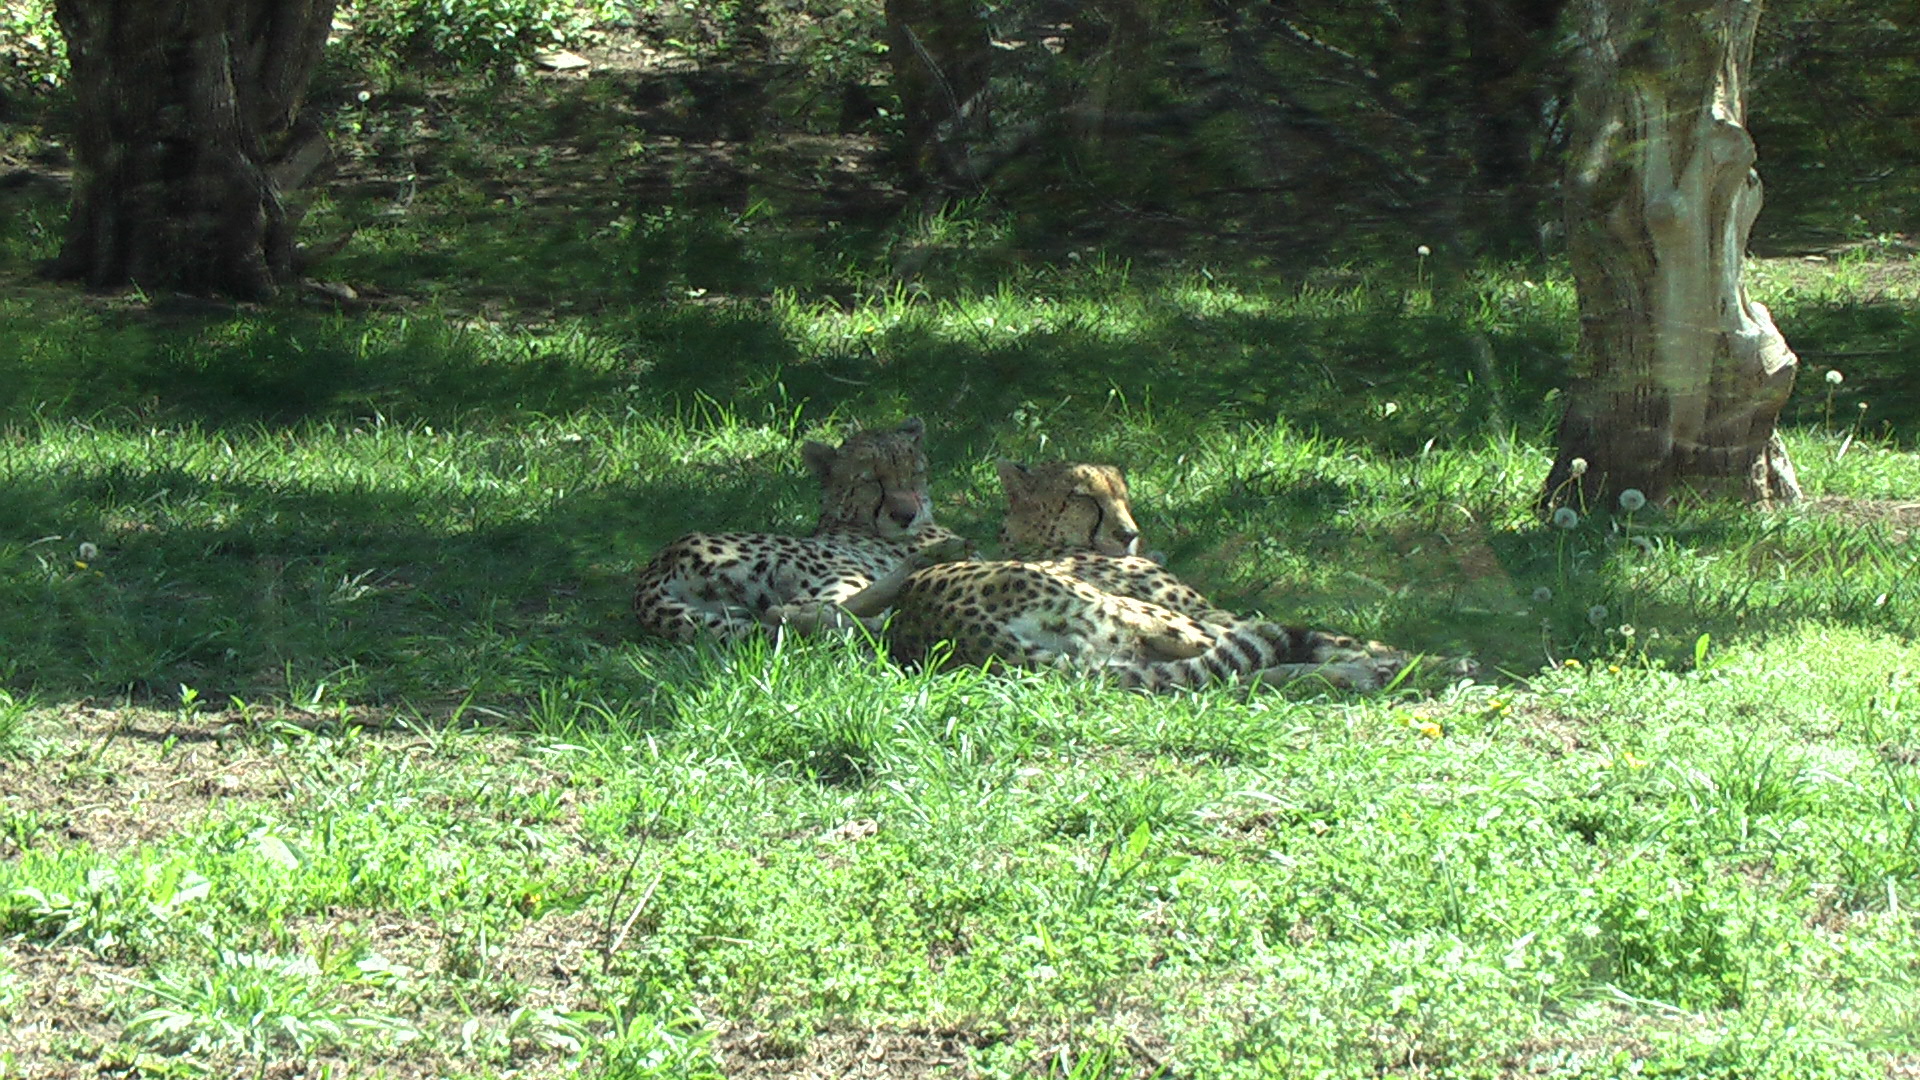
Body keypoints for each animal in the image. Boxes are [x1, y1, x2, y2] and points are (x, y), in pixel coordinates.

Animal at [631, 417, 971, 643]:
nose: (906, 516)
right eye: (872, 481)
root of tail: (662, 559)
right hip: (844, 573)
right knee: (803, 614)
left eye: (913, 474)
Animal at [880, 459, 1419, 691]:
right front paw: (1406, 656)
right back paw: (1387, 670)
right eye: (1084, 498)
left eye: (1122, 493)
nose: (1128, 534)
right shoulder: (1212, 612)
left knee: (1234, 677)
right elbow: (1342, 636)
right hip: (1149, 617)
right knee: (1239, 659)